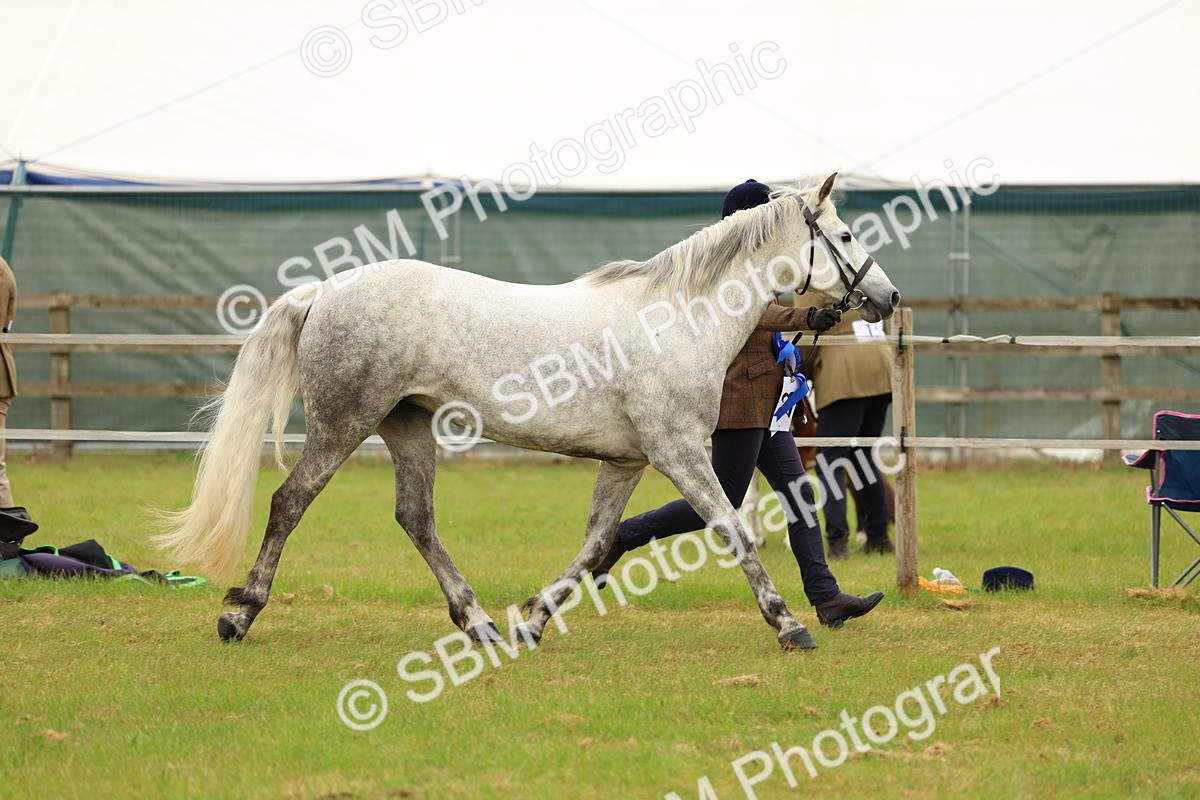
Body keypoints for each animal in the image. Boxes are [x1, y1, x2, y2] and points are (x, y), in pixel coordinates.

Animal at [155, 174, 901, 650]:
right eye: (844, 233)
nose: (888, 297)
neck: (679, 317)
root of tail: (323, 292)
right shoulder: (680, 452)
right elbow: (735, 532)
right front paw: (790, 625)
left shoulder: (627, 462)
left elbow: (598, 541)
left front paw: (533, 621)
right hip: (344, 422)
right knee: (290, 502)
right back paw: (239, 617)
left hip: (407, 425)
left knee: (415, 518)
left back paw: (481, 623)